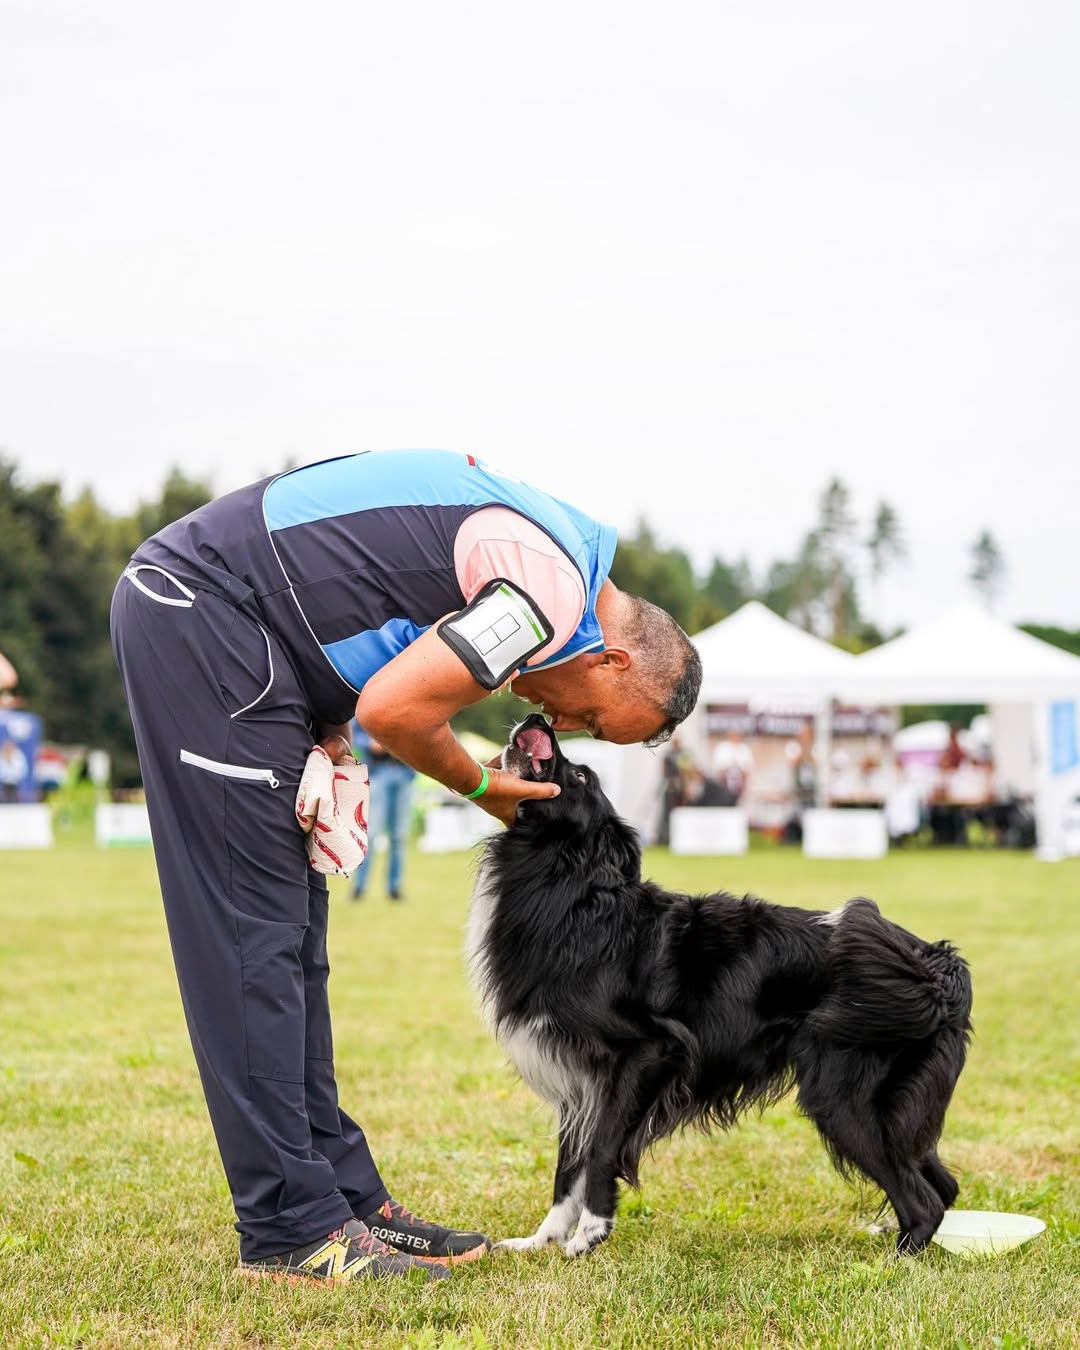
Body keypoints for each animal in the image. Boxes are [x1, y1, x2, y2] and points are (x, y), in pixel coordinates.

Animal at [467, 714, 972, 1258]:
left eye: (581, 775)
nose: (537, 717)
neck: (575, 895)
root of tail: (936, 963)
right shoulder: (579, 1079)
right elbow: (568, 1166)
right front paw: (543, 1239)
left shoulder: (647, 1053)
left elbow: (600, 1151)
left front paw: (590, 1234)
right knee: (942, 1183)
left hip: (843, 1098)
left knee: (924, 1201)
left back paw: (896, 1258)